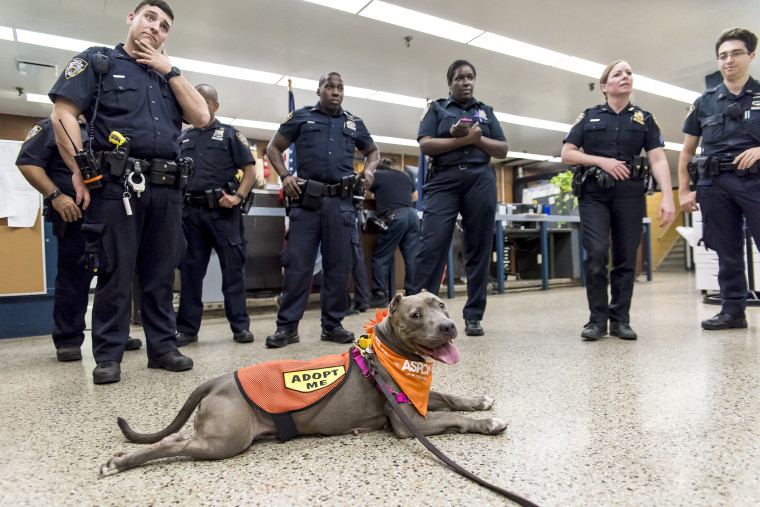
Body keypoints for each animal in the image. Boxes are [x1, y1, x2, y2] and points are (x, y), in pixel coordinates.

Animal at [99, 290, 504, 476]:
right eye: (416, 315)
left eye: (442, 304)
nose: (448, 327)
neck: (389, 352)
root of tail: (216, 381)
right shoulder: (410, 423)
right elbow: (454, 419)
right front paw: (489, 422)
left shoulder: (418, 400)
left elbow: (450, 399)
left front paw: (480, 401)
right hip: (222, 443)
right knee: (176, 447)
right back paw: (119, 463)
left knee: (173, 441)